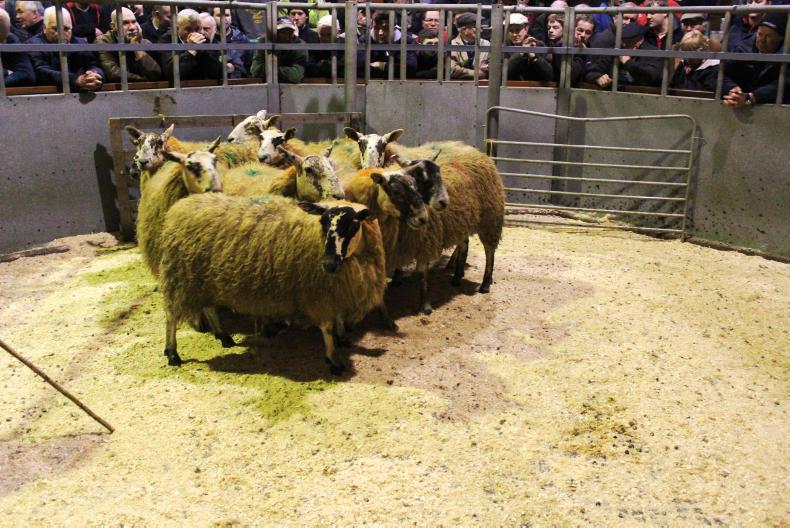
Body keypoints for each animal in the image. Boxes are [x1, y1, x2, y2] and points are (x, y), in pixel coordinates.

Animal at [158, 194, 387, 375]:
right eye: (323, 223)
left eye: (354, 224)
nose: (328, 264)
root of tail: (180, 206)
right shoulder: (316, 293)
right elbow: (327, 327)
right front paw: (333, 360)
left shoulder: (336, 290)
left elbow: (338, 317)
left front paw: (342, 339)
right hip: (179, 278)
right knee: (171, 317)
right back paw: (172, 353)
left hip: (201, 279)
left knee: (209, 307)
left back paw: (223, 336)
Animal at [390, 148, 505, 314]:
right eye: (420, 177)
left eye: (439, 175)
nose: (444, 202)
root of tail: (481, 155)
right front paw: (396, 279)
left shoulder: (427, 241)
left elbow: (422, 274)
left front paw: (425, 306)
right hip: (463, 220)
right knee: (464, 245)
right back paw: (457, 277)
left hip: (490, 219)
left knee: (489, 251)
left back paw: (485, 284)